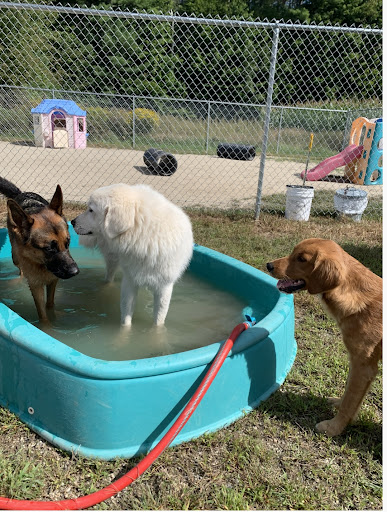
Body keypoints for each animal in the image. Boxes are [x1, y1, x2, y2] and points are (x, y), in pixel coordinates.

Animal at [0, 178, 79, 322]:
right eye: (48, 248)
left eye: (68, 242)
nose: (75, 272)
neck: (42, 264)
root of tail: (22, 193)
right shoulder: (36, 286)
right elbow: (42, 314)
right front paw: (48, 325)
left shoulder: (53, 280)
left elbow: (50, 304)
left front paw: (54, 316)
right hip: (15, 258)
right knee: (21, 271)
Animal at [71, 185, 192, 328]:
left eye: (91, 210)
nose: (72, 222)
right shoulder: (130, 281)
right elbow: (126, 318)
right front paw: (124, 333)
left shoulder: (164, 287)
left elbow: (159, 320)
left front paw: (156, 333)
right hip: (112, 259)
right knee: (109, 278)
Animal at [266, 239, 382, 436]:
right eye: (293, 252)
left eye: (302, 259)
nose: (269, 265)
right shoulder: (357, 363)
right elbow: (348, 394)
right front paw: (338, 404)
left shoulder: (364, 366)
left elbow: (350, 402)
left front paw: (333, 428)